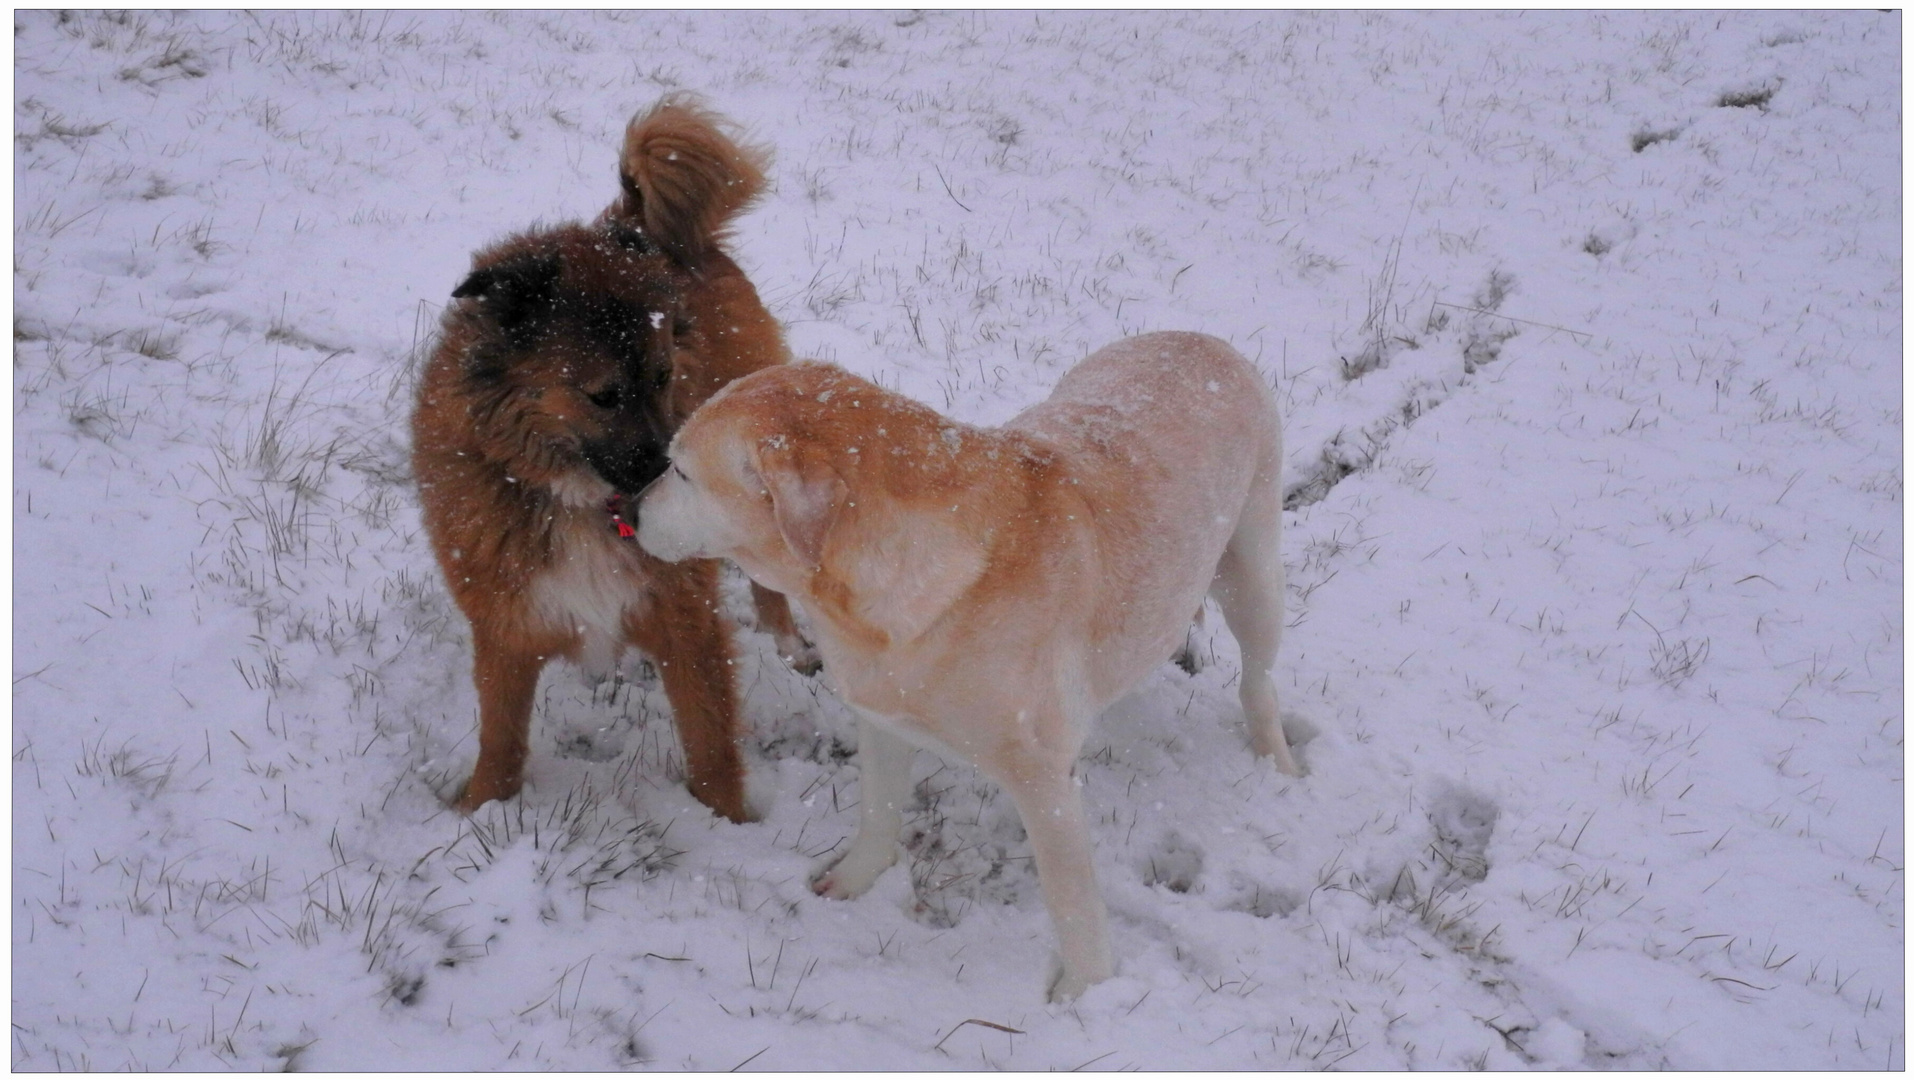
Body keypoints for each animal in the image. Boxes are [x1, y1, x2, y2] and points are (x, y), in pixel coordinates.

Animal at [415, 97, 811, 823]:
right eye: (602, 394)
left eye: (663, 376)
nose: (665, 481)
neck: (573, 496)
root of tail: (635, 220)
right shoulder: (508, 625)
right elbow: (500, 743)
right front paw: (480, 813)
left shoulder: (688, 621)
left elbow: (711, 751)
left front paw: (730, 827)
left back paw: (787, 642)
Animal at [635, 331, 1293, 1003]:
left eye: (681, 471)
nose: (628, 512)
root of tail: (1198, 338)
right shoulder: (881, 716)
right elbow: (877, 811)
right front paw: (852, 882)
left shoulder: (1042, 779)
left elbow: (1072, 901)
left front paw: (1084, 992)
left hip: (1251, 578)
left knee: (1257, 679)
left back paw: (1280, 762)